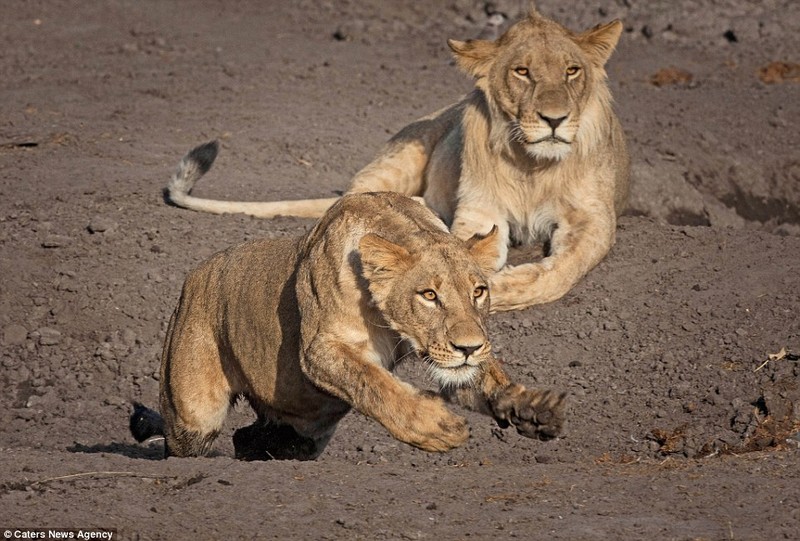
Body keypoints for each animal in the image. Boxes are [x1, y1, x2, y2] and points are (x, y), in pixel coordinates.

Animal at [131, 141, 564, 458]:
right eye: (429, 295)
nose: (468, 347)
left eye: (478, 291)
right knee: (182, 438)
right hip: (194, 410)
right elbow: (374, 384)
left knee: (252, 438)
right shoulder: (320, 349)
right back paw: (146, 435)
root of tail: (196, 275)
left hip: (299, 428)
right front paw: (435, 427)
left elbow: (485, 377)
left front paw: (530, 407)